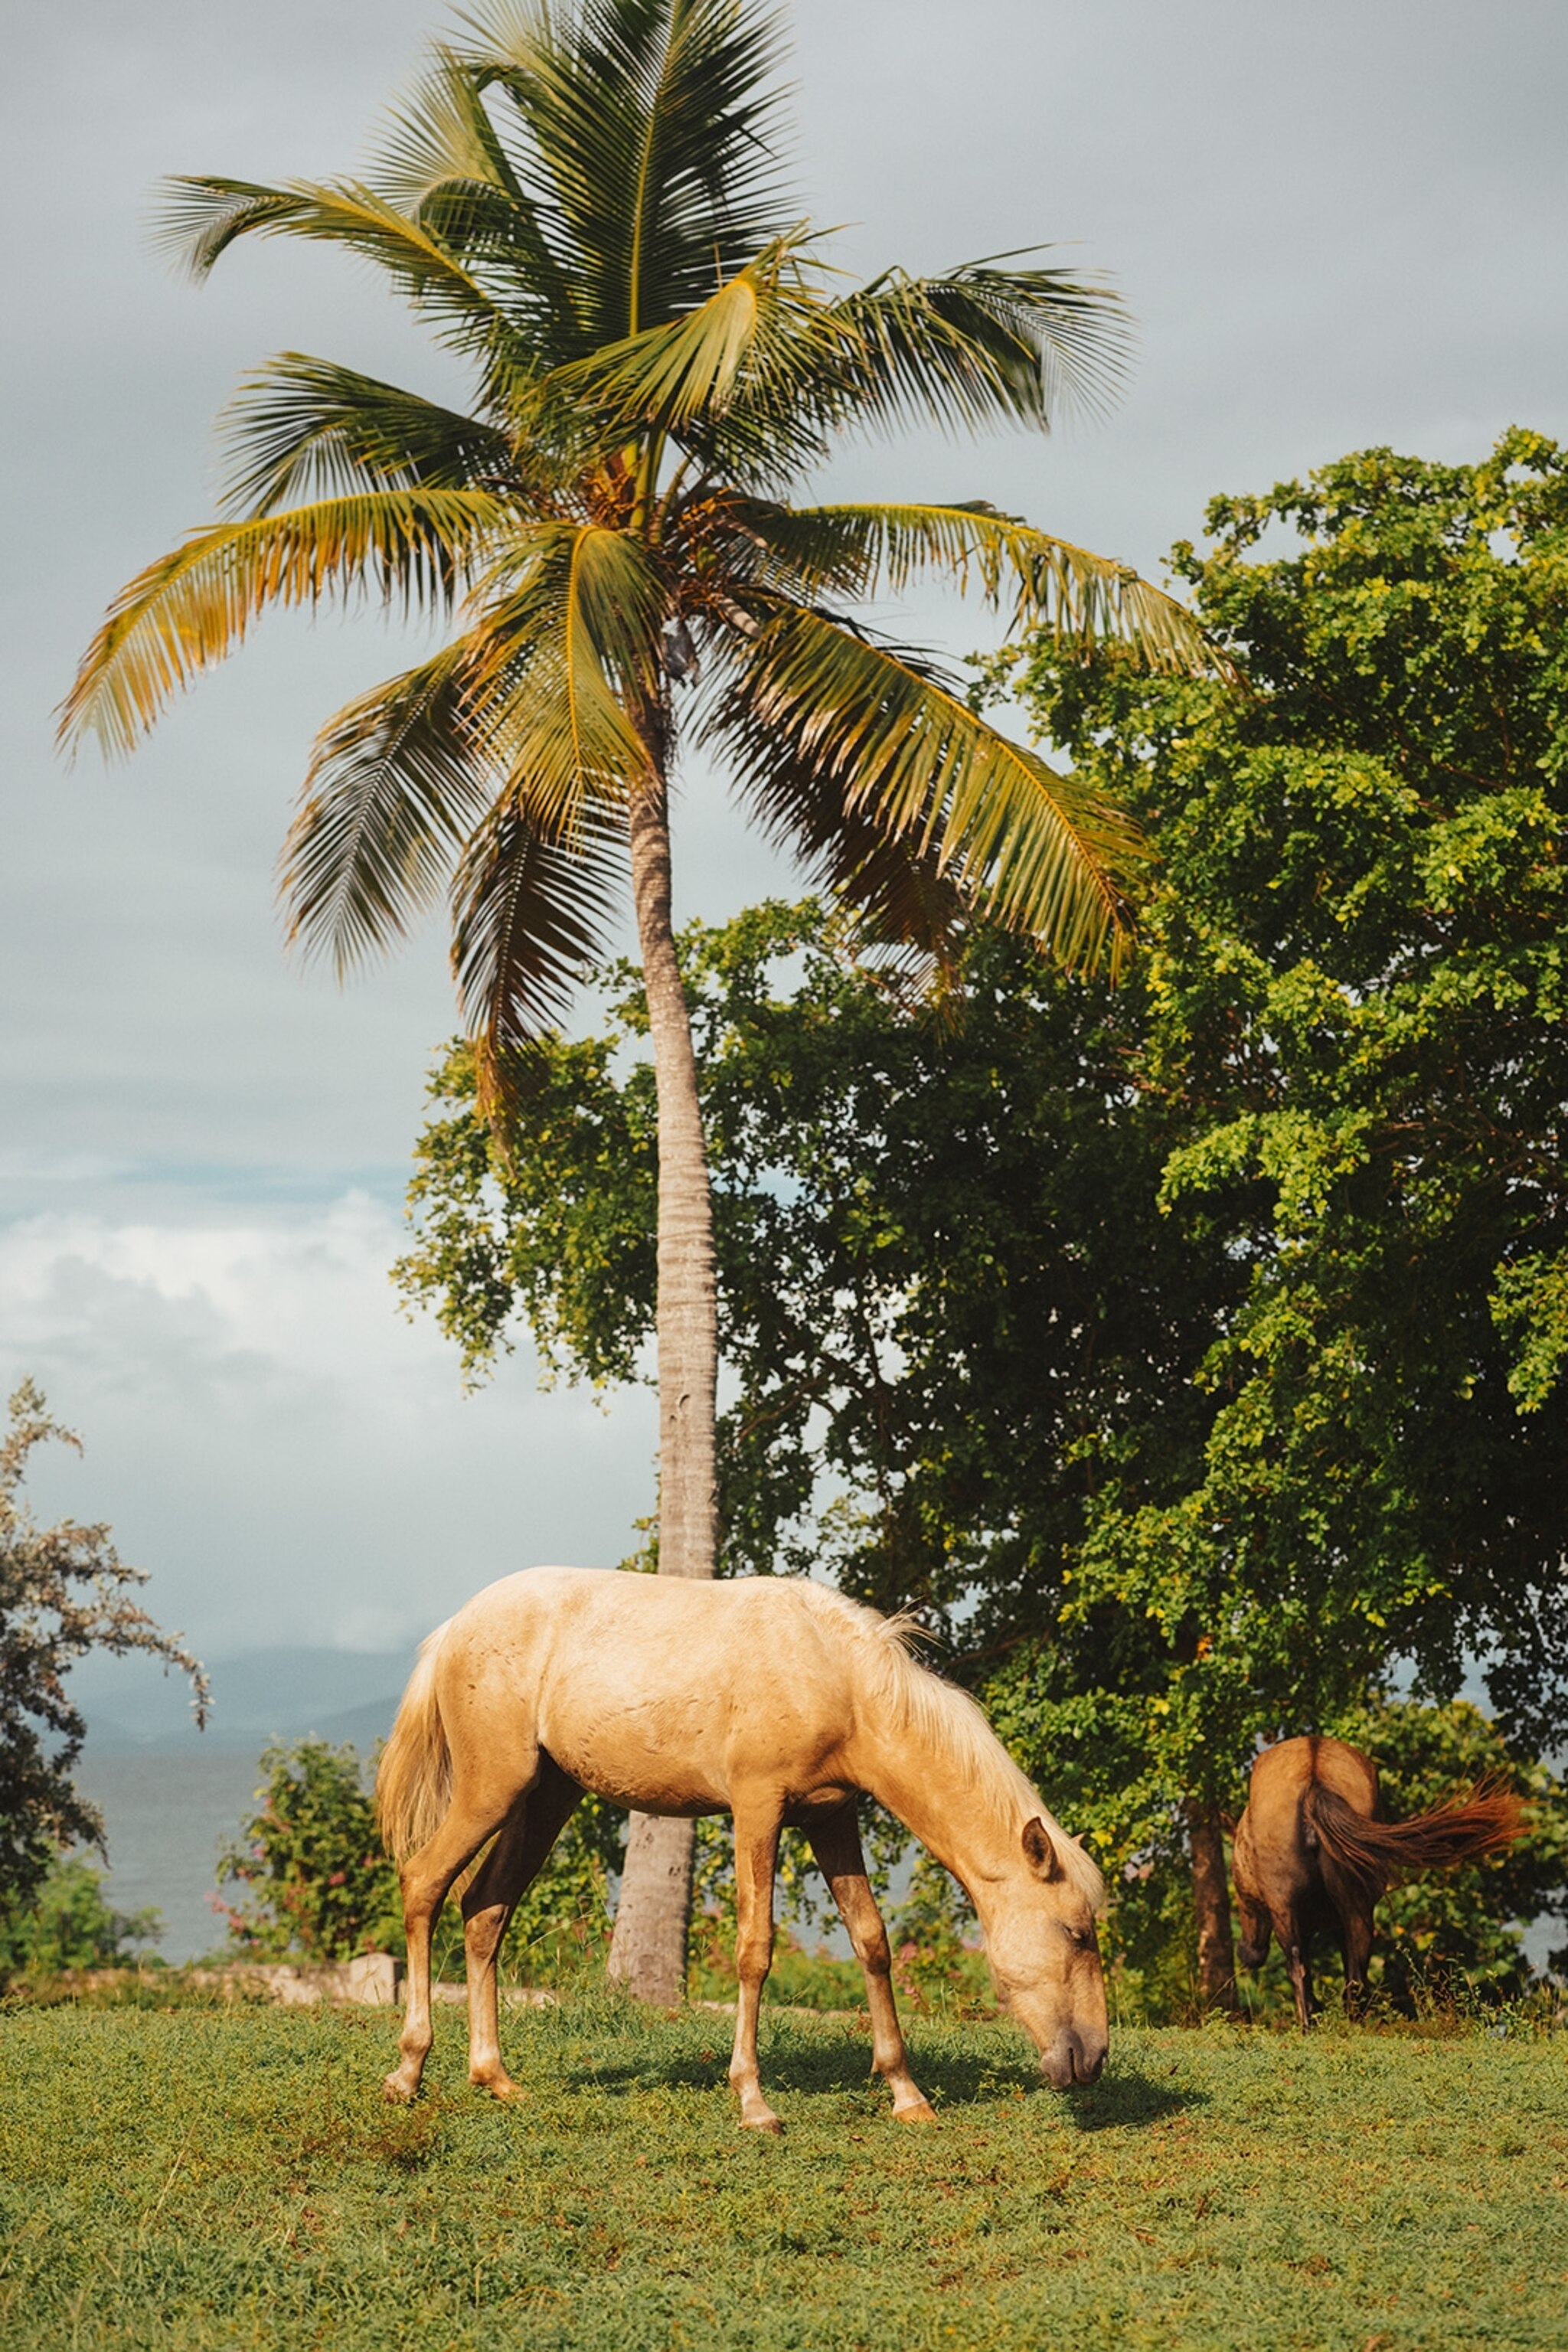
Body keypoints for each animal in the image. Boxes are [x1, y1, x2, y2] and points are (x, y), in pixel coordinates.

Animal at [376, 1566, 1108, 2130]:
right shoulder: (758, 1809)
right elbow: (755, 1950)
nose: (1096, 2059)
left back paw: (494, 2077)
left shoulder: (832, 1818)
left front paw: (907, 2095)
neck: (836, 1676)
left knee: (484, 1911)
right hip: (490, 1790)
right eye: (1076, 1933)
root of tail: (454, 1629)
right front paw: (754, 2102)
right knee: (423, 1885)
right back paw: (408, 2070)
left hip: (545, 1797)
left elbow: (871, 1940)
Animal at [1230, 1734, 1523, 2030]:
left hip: (1290, 1905)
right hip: (1350, 1905)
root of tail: (1314, 1779)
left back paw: (1310, 2026)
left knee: (1300, 1965)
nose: (1248, 1953)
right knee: (1353, 1976)